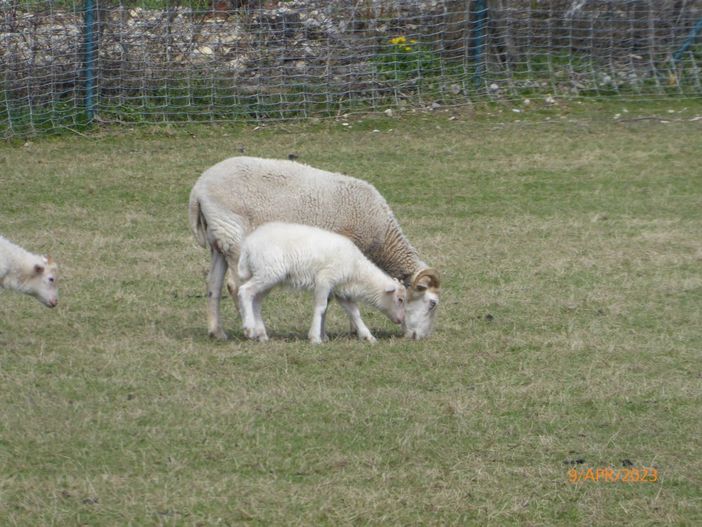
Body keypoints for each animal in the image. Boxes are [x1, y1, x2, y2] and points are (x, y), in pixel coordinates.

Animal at [238, 222, 408, 342]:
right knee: (245, 291)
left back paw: (261, 334)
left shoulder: (340, 290)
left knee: (256, 300)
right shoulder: (325, 279)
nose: (401, 320)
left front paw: (368, 336)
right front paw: (315, 337)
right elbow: (320, 307)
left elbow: (354, 312)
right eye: (400, 299)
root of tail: (247, 245)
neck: (356, 270)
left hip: (267, 276)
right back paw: (249, 329)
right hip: (268, 272)